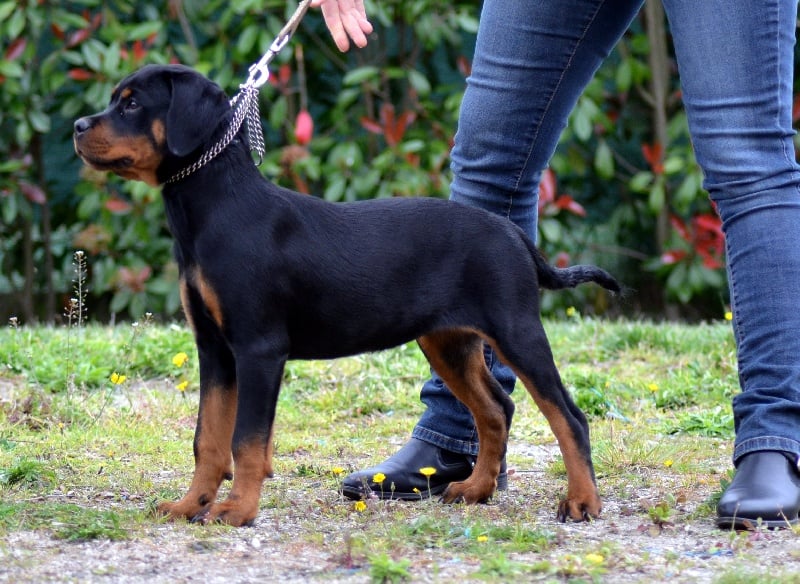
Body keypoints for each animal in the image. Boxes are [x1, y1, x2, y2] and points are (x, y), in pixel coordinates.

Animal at [73, 65, 620, 528]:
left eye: (131, 104)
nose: (78, 125)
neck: (217, 209)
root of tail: (513, 234)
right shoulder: (215, 349)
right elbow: (207, 438)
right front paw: (190, 505)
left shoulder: (259, 348)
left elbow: (246, 441)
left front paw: (238, 511)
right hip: (447, 341)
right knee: (495, 410)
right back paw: (475, 489)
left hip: (515, 328)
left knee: (568, 416)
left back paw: (582, 502)